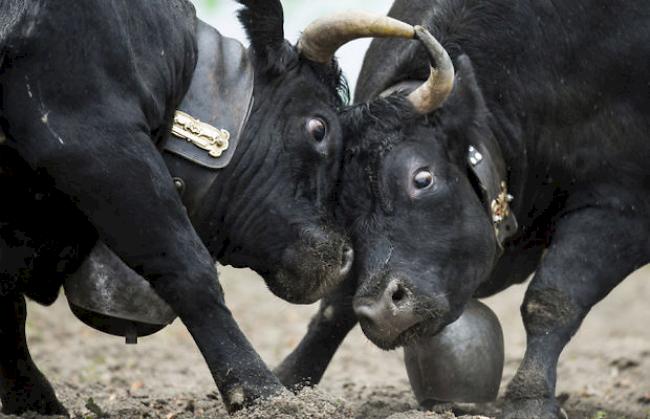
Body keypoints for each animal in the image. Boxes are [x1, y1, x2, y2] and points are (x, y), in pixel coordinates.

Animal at [274, 1, 648, 418]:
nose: (381, 310)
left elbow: (552, 298)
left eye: (422, 178)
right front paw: (289, 382)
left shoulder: (621, 210)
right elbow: (334, 308)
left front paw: (530, 397)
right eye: (337, 199)